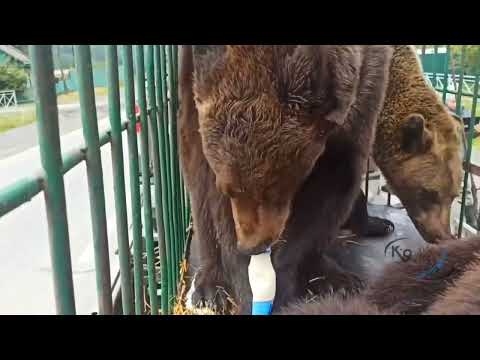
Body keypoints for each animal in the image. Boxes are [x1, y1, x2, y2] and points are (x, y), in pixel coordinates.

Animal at [178, 45, 392, 314]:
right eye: (230, 190)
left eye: (276, 188)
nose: (252, 246)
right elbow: (210, 192)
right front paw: (247, 285)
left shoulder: (364, 90)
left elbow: (329, 192)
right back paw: (208, 288)